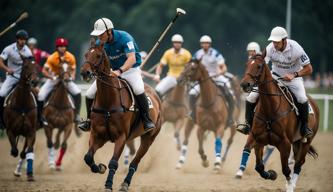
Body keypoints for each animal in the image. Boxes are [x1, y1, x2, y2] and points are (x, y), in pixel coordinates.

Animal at [80, 44, 161, 192]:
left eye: (98, 56)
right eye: (86, 55)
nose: (85, 73)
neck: (108, 101)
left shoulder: (121, 137)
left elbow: (113, 162)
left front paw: (108, 185)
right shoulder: (98, 135)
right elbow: (88, 157)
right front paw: (100, 168)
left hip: (149, 138)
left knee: (135, 162)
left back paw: (125, 183)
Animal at [240, 54, 318, 191]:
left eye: (259, 66)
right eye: (247, 64)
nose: (245, 84)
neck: (270, 109)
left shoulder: (284, 143)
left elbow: (286, 169)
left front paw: (289, 185)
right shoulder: (257, 139)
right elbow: (259, 166)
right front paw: (271, 174)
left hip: (306, 141)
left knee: (298, 163)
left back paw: (292, 185)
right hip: (296, 142)